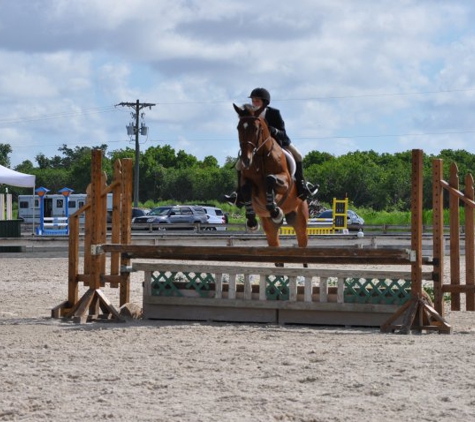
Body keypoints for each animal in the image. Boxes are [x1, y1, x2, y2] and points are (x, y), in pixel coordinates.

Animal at [233, 103, 308, 251]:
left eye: (256, 128)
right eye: (238, 127)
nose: (245, 160)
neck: (261, 156)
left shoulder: (285, 182)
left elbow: (270, 180)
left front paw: (275, 210)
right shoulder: (247, 182)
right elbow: (246, 188)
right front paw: (251, 221)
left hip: (300, 219)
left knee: (302, 239)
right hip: (269, 226)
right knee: (274, 241)